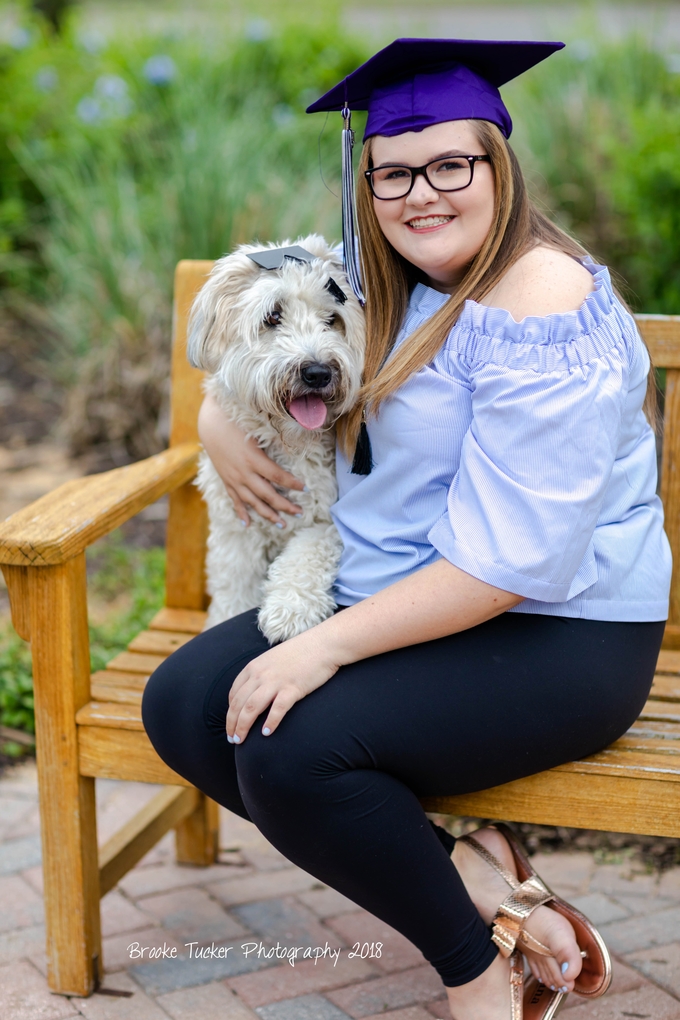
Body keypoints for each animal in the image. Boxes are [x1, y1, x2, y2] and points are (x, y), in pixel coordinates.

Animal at [186, 234, 367, 640]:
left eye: (332, 319)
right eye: (272, 316)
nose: (318, 372)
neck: (288, 444)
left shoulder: (326, 522)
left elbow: (306, 555)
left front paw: (291, 610)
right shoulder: (236, 532)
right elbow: (232, 590)